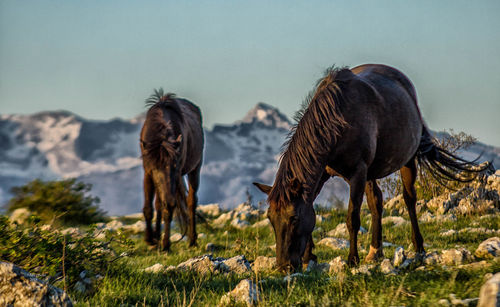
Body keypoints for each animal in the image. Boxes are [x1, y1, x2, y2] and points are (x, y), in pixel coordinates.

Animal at [139, 89, 203, 253]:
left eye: (175, 166)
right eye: (155, 168)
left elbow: (169, 207)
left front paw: (165, 244)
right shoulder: (148, 173)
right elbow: (149, 208)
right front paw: (150, 239)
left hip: (195, 169)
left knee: (191, 202)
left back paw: (192, 241)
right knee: (159, 204)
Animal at [254, 63, 488, 270]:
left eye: (293, 218)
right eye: (271, 219)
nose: (283, 267)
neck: (338, 121)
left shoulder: (358, 172)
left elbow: (352, 218)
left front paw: (351, 260)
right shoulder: (323, 174)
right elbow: (312, 209)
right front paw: (307, 257)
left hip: (406, 161)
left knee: (409, 199)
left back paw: (418, 247)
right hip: (371, 173)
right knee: (377, 202)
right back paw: (375, 251)